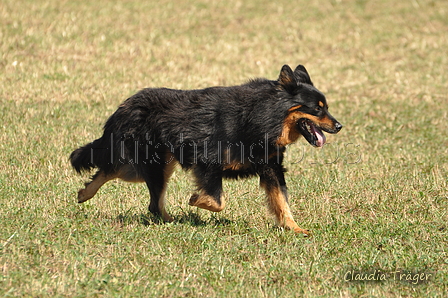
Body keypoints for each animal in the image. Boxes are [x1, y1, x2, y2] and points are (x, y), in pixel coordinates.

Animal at [70, 65, 344, 235]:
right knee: (114, 172)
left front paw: (295, 228)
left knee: (141, 194)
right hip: (149, 163)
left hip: (158, 165)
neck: (261, 116)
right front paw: (195, 200)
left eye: (327, 107)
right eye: (318, 108)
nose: (339, 126)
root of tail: (124, 105)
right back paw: (86, 195)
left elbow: (281, 202)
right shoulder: (207, 162)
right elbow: (217, 200)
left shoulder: (271, 168)